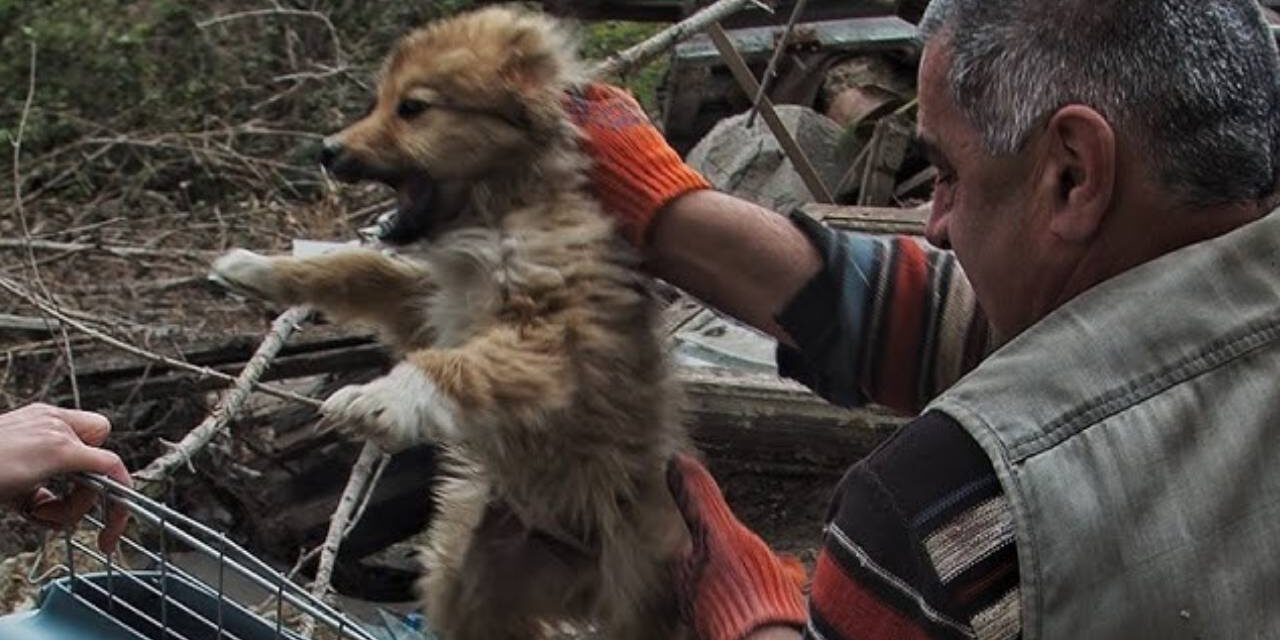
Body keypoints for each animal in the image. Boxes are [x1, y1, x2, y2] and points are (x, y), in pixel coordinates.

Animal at [212, 6, 691, 640]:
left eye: (412, 108)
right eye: (380, 100)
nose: (326, 150)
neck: (497, 212)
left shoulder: (552, 339)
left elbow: (458, 363)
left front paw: (380, 399)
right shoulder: (430, 302)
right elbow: (359, 267)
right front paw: (261, 268)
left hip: (635, 593)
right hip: (473, 576)